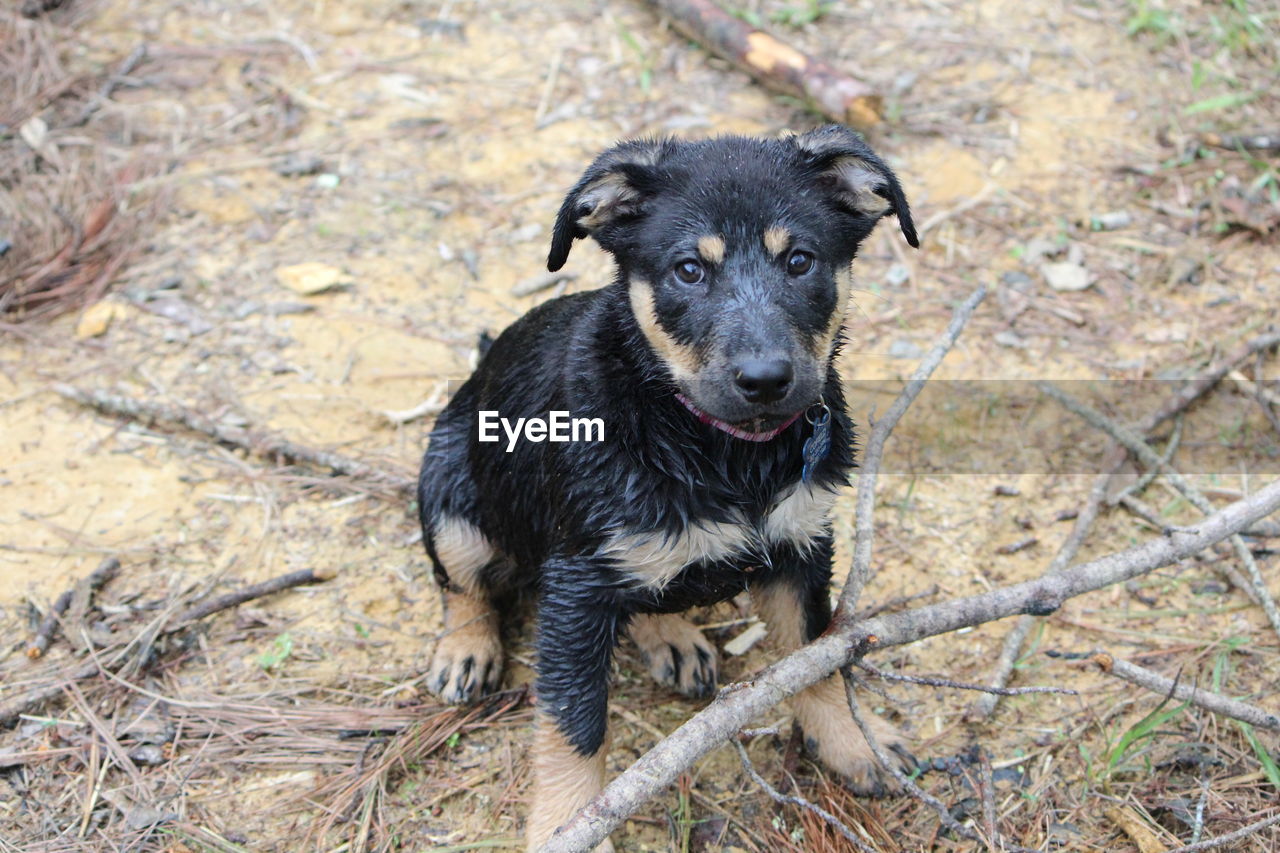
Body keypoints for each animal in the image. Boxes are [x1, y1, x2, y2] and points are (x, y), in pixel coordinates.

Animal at [419, 122, 921, 845]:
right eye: (689, 270)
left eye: (800, 261)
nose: (765, 379)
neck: (723, 450)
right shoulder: (575, 585)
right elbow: (573, 725)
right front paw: (565, 826)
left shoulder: (802, 546)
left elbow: (816, 658)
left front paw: (855, 741)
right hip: (452, 499)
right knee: (461, 585)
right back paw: (465, 650)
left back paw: (672, 636)